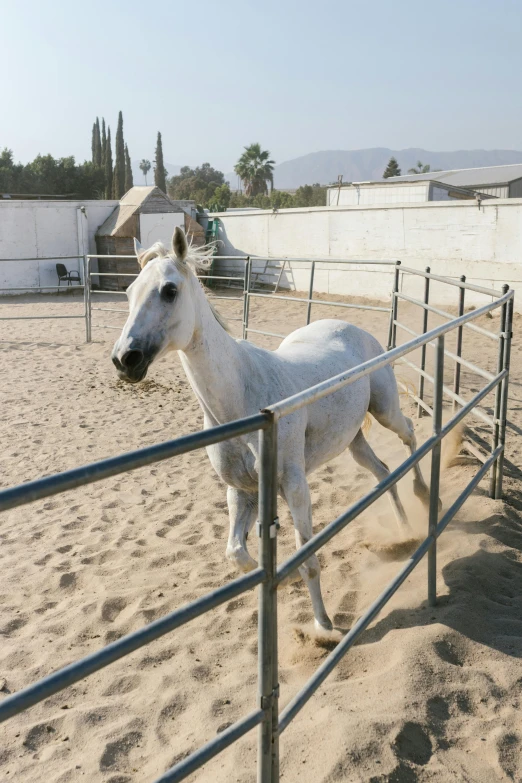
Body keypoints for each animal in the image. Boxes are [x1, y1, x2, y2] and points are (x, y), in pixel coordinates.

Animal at [111, 230, 428, 632]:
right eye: (129, 291)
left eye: (169, 290)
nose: (125, 359)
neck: (245, 400)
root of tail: (355, 330)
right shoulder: (242, 491)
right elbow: (237, 553)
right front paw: (282, 576)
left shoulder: (294, 486)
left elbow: (308, 559)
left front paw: (324, 627)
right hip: (353, 440)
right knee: (384, 472)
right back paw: (405, 529)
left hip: (385, 409)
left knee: (410, 433)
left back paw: (424, 495)